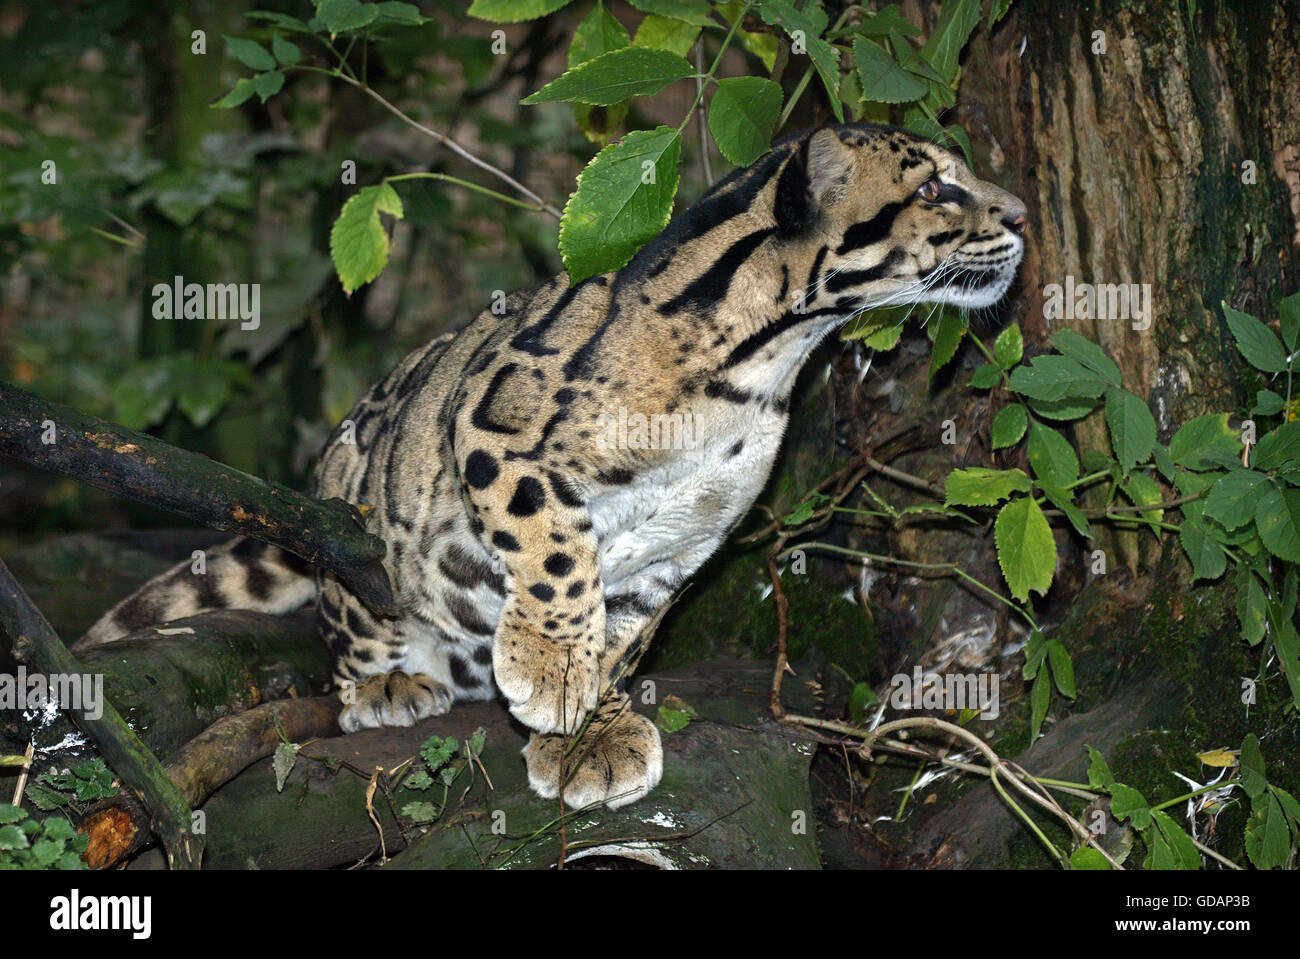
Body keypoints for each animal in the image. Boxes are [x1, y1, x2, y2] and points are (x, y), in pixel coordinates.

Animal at [82, 122, 1027, 810]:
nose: (1021, 215)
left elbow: (624, 635)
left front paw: (588, 731)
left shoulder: (686, 541)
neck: (764, 361)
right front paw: (549, 669)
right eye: (936, 187)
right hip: (350, 503)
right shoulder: (494, 422)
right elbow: (559, 552)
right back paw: (388, 678)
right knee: (346, 617)